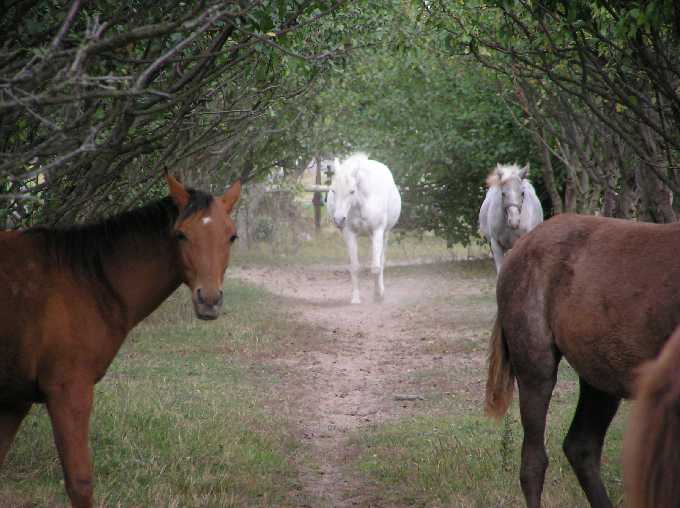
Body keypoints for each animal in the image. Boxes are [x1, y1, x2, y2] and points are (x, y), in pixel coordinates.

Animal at [0, 173, 242, 506]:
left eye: (231, 237)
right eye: (181, 235)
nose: (209, 300)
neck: (87, 280)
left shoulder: (14, 401)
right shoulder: (68, 394)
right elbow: (80, 483)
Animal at [326, 153, 402, 304]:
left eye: (352, 191)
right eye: (333, 190)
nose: (339, 219)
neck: (362, 202)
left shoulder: (378, 231)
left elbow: (376, 267)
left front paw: (378, 296)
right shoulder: (349, 233)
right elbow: (355, 267)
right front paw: (355, 298)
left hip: (385, 234)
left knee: (381, 262)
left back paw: (380, 291)